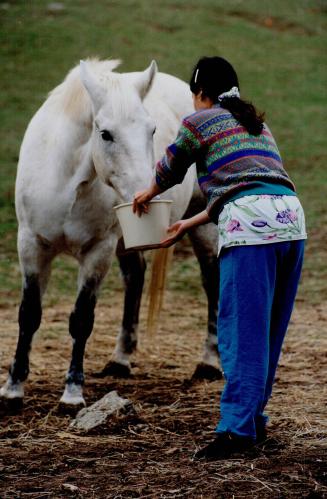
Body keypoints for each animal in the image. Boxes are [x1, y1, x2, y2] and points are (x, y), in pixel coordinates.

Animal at [0, 60, 222, 408]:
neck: (66, 184)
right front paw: (13, 389)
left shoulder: (97, 251)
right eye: (105, 134)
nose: (147, 194)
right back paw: (120, 359)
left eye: (152, 131)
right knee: (135, 276)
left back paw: (209, 363)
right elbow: (29, 314)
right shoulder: (32, 246)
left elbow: (81, 319)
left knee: (212, 281)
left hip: (202, 223)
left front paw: (72, 393)